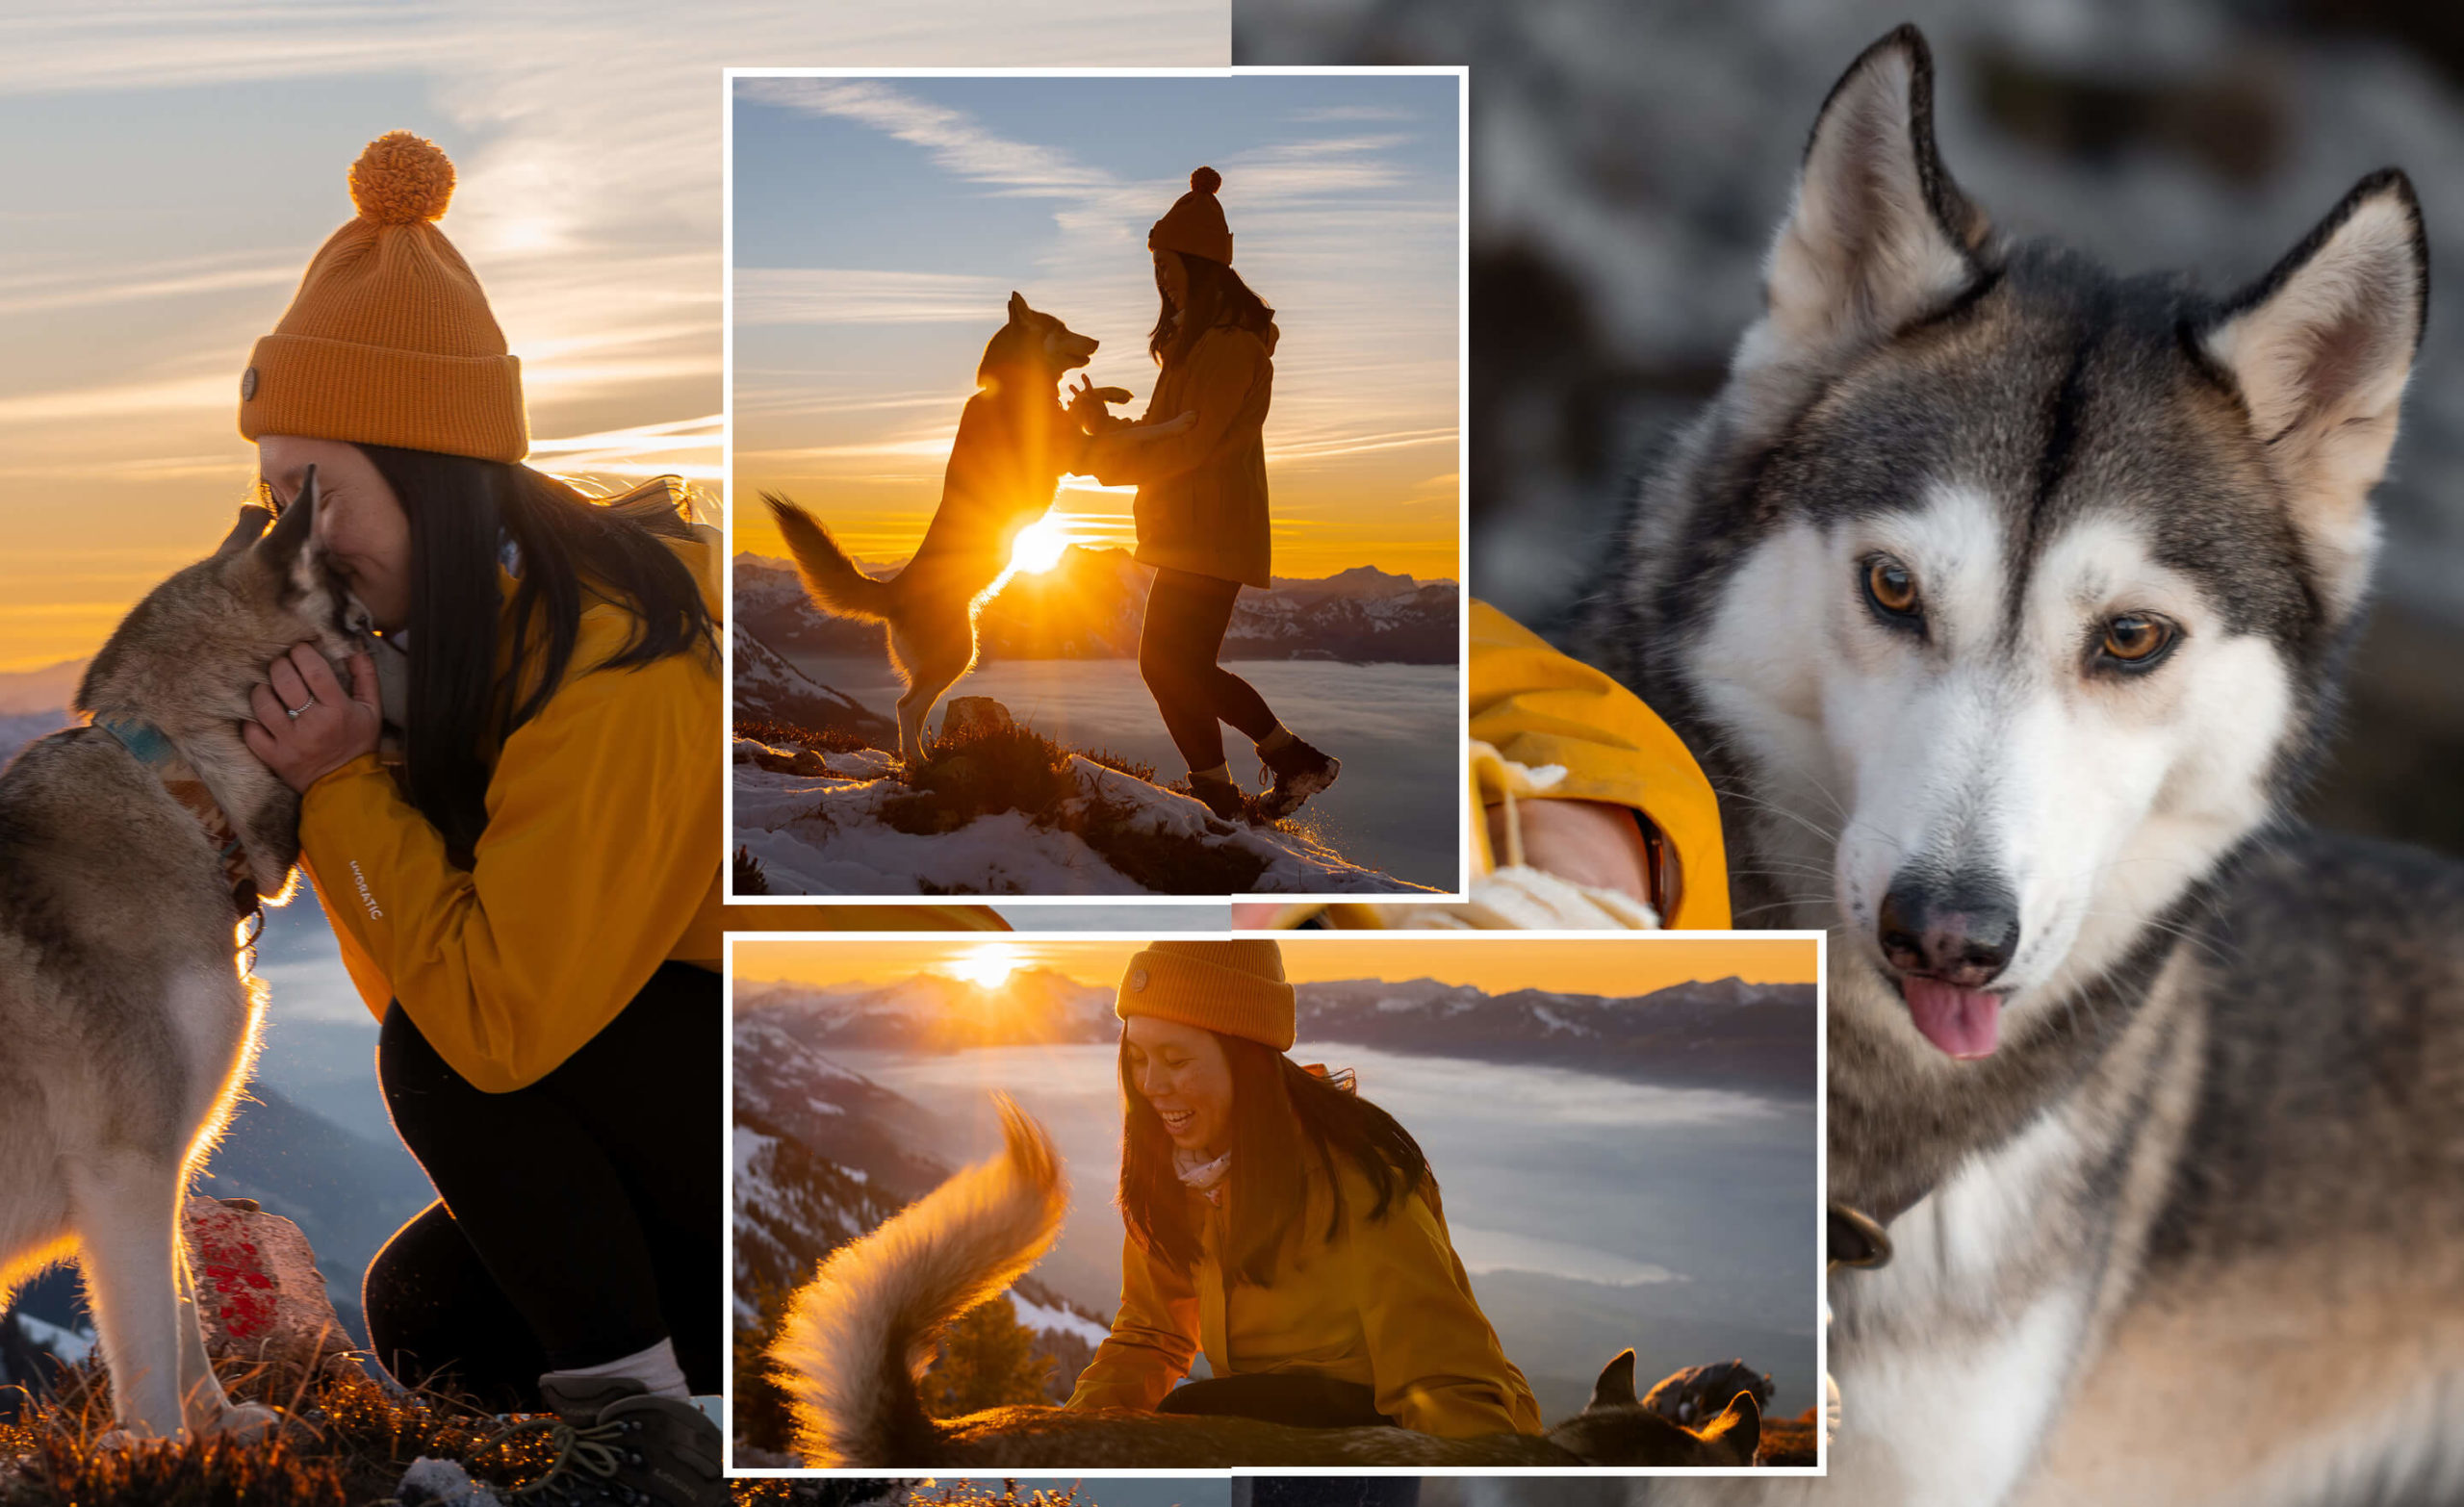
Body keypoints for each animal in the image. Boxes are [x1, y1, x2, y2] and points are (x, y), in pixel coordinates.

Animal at [0, 477, 364, 1438]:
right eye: (364, 622)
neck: (184, 792)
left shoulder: (168, 1158)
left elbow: (184, 1312)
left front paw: (220, 1430)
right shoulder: (127, 1163)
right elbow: (153, 1346)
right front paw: (166, 1446)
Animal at [768, 294, 1193, 763]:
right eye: (1061, 326)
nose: (1098, 341)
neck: (1016, 387)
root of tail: (894, 590)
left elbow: (1086, 403)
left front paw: (1113, 393)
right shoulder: (1082, 455)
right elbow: (1139, 434)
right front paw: (1178, 423)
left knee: (912, 708)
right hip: (958, 655)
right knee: (904, 706)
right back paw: (918, 763)